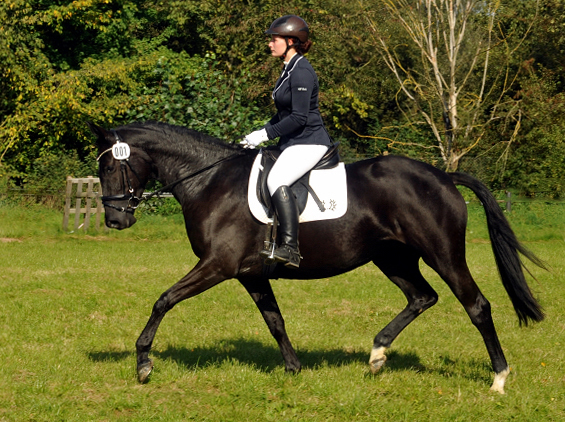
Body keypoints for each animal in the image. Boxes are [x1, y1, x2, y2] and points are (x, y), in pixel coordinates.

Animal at [88, 121, 540, 392]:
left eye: (111, 168)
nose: (115, 220)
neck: (210, 180)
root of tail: (443, 176)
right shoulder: (250, 274)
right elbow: (274, 320)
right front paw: (294, 367)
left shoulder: (217, 265)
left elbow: (163, 300)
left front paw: (143, 362)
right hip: (392, 259)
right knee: (422, 297)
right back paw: (377, 354)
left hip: (442, 254)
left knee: (476, 305)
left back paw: (499, 378)